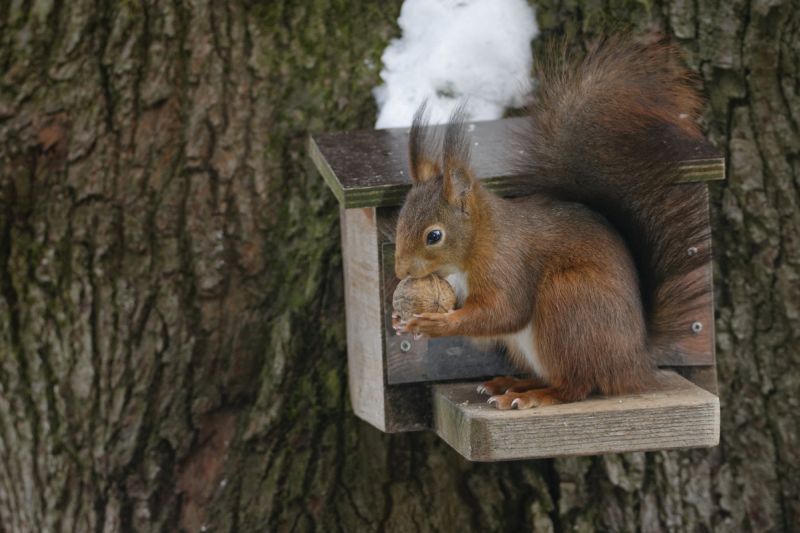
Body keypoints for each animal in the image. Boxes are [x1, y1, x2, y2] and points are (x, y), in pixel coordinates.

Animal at [394, 38, 712, 408]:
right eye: (400, 221)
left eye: (434, 236)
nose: (400, 271)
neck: (479, 241)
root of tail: (634, 361)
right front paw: (401, 323)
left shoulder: (507, 264)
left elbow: (503, 311)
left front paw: (437, 324)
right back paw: (510, 384)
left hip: (568, 301)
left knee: (576, 386)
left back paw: (535, 396)